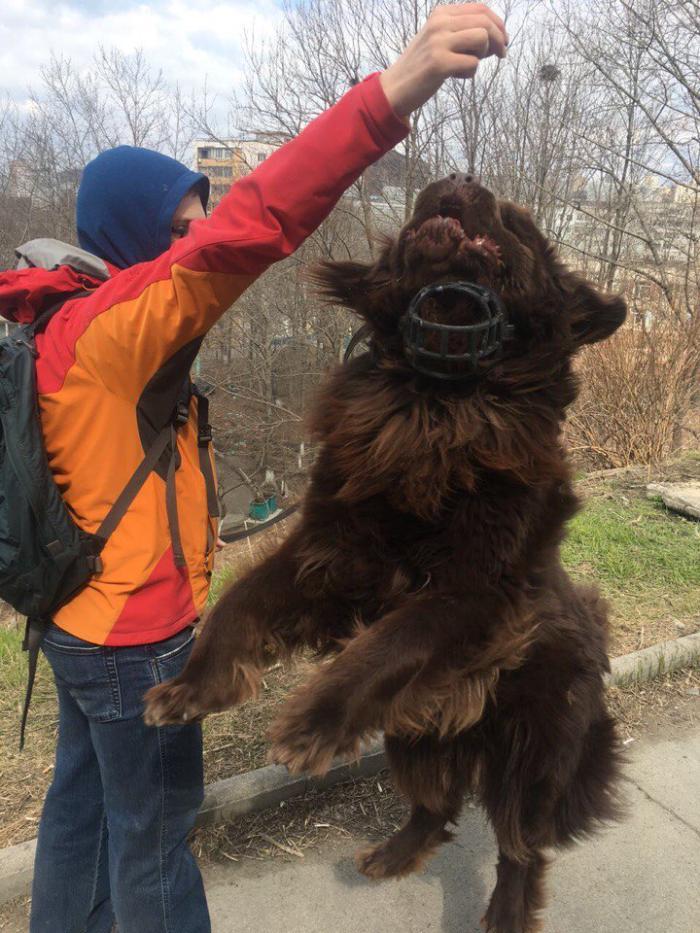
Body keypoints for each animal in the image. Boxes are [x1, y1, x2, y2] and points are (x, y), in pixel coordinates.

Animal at [145, 175, 628, 932]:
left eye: (515, 222)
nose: (456, 179)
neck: (435, 402)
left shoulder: (477, 595)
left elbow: (390, 643)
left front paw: (310, 723)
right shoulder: (327, 551)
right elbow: (237, 607)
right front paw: (191, 689)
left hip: (529, 754)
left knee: (521, 846)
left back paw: (505, 910)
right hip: (414, 727)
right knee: (438, 806)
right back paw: (392, 855)